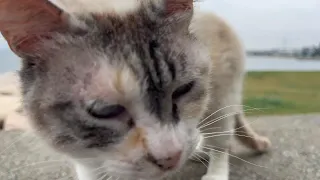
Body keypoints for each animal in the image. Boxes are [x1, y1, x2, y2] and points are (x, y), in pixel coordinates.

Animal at [0, 0, 272, 180]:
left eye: (183, 89)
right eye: (105, 110)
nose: (171, 158)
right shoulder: (87, 160)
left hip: (222, 97)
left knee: (222, 141)